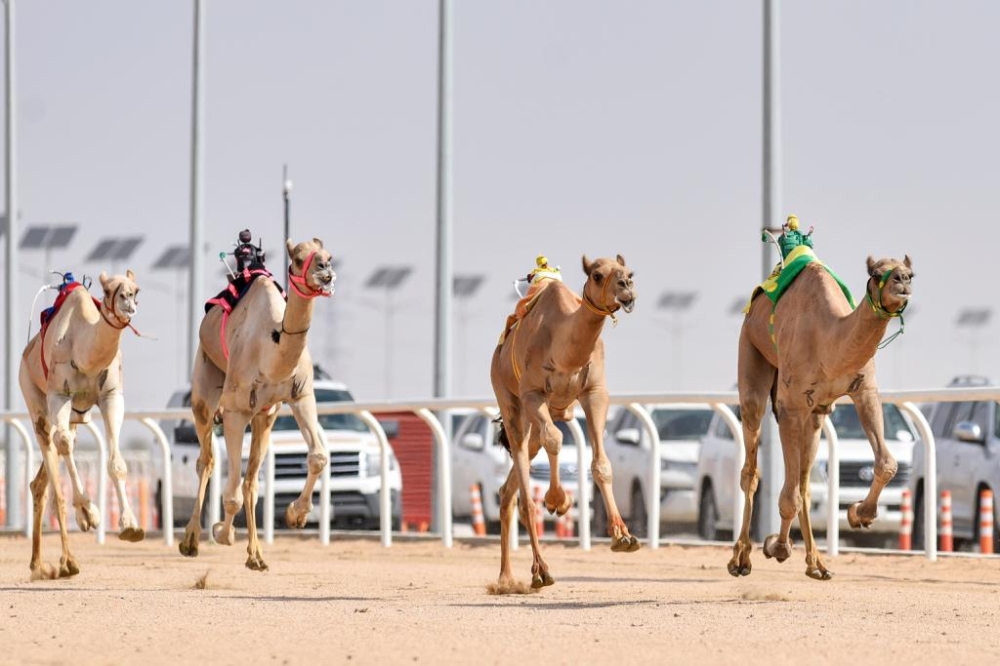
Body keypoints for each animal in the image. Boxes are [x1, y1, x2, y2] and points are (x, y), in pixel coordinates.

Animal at [19, 270, 145, 576]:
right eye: (109, 290)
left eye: (135, 290)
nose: (128, 304)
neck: (85, 353)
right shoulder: (59, 395)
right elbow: (64, 445)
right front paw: (89, 512)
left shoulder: (112, 397)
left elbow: (117, 463)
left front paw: (130, 525)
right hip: (35, 399)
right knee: (53, 447)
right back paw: (67, 561)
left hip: (75, 415)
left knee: (42, 480)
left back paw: (38, 563)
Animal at [180, 236, 336, 568]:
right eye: (298, 258)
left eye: (328, 256)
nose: (325, 272)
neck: (272, 351)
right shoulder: (236, 410)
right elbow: (231, 493)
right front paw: (222, 533)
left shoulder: (300, 395)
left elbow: (318, 456)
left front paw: (296, 515)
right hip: (204, 389)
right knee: (206, 461)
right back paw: (191, 540)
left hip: (265, 415)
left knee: (250, 479)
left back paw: (256, 554)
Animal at [492, 255, 640, 592]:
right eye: (597, 275)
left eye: (630, 273)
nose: (626, 289)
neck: (566, 351)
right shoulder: (532, 393)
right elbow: (557, 440)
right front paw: (558, 501)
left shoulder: (595, 393)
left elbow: (601, 464)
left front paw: (623, 536)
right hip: (511, 402)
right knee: (525, 483)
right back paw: (537, 572)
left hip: (543, 416)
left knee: (509, 490)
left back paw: (506, 578)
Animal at [732, 252, 916, 580]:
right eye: (876, 273)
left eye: (911, 273)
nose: (902, 282)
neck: (829, 339)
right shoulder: (791, 405)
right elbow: (788, 496)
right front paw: (777, 547)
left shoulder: (863, 390)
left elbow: (887, 463)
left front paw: (860, 513)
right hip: (751, 354)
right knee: (752, 470)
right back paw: (742, 558)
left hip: (816, 415)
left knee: (804, 483)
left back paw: (816, 563)